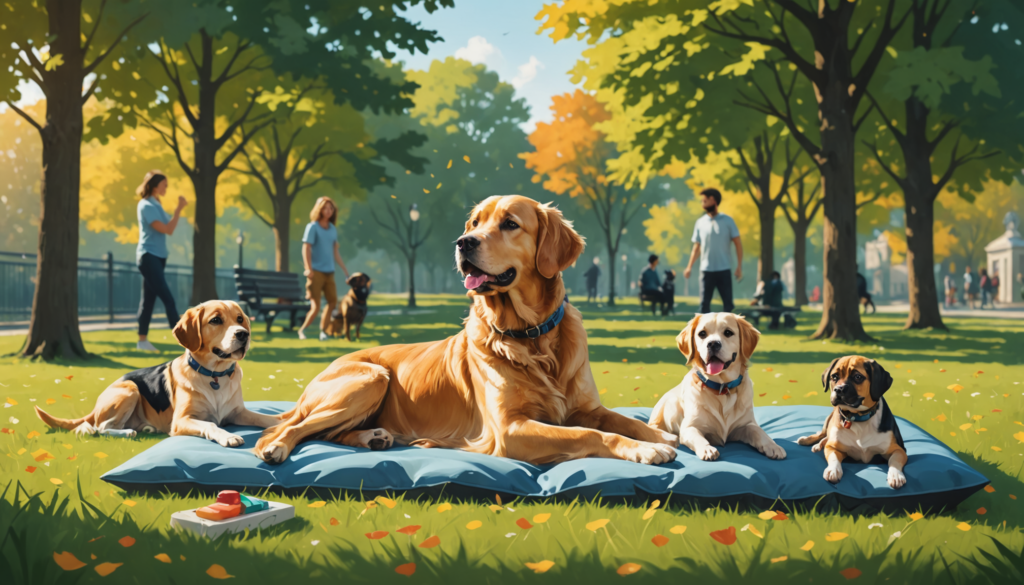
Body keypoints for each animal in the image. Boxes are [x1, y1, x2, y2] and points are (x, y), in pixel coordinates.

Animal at [251, 196, 675, 467]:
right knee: (294, 428)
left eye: (510, 223)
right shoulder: (510, 429)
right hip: (371, 377)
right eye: (474, 223)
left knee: (325, 433)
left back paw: (373, 437)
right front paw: (644, 450)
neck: (531, 337)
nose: (463, 242)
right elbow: (591, 436)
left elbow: (624, 421)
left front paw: (661, 437)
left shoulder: (586, 408)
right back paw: (276, 447)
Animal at [647, 313, 782, 461]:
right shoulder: (689, 427)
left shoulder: (745, 425)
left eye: (728, 332)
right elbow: (698, 437)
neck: (722, 388)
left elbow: (759, 431)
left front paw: (773, 446)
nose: (712, 344)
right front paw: (707, 449)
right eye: (702, 334)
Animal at [790, 356, 905, 489]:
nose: (838, 390)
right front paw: (833, 470)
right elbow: (833, 458)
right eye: (834, 376)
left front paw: (896, 475)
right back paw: (808, 441)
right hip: (829, 419)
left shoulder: (898, 450)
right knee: (822, 434)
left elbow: (894, 461)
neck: (857, 417)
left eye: (858, 377)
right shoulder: (834, 447)